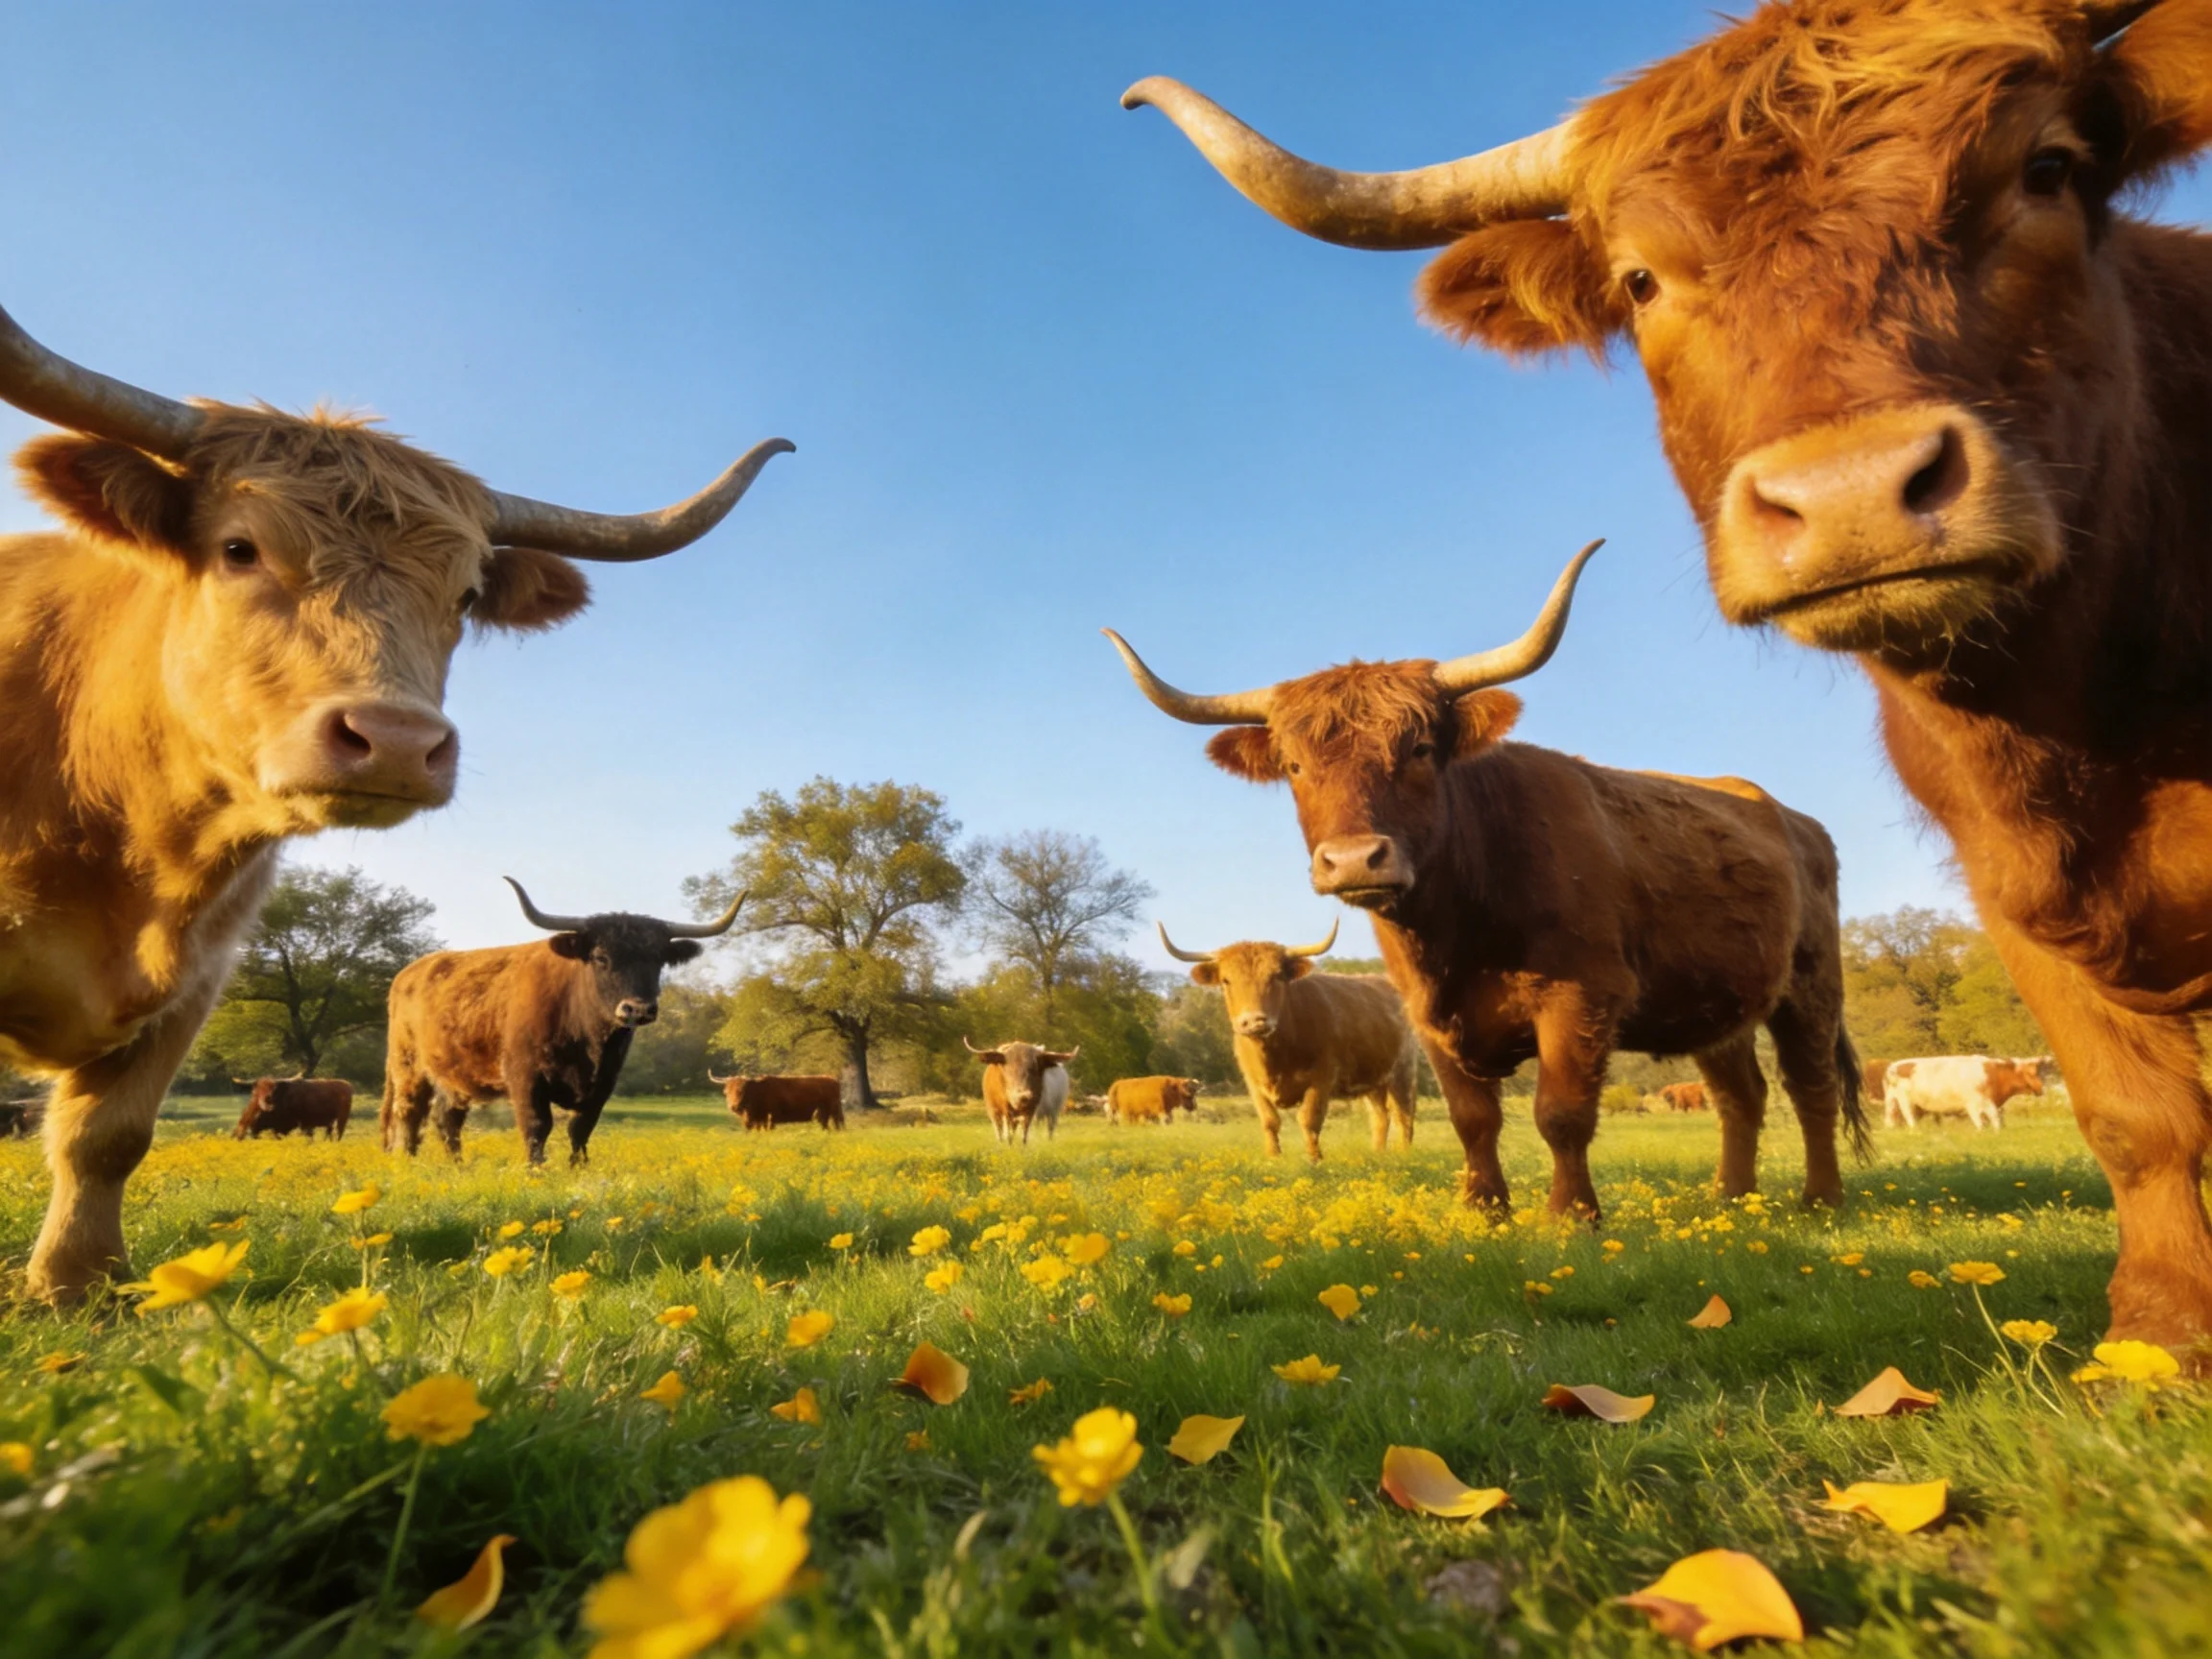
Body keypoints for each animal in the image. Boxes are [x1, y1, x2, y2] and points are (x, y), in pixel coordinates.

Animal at [381, 880, 743, 1165]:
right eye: (600, 957)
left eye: (658, 960)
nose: (637, 1009)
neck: (588, 1041)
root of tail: (409, 972)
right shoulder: (525, 1078)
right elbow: (536, 1127)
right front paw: (535, 1173)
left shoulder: (603, 1084)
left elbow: (580, 1130)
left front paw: (577, 1169)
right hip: (408, 1068)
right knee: (409, 1115)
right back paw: (409, 1165)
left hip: (453, 1077)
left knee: (447, 1119)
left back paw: (458, 1167)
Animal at [712, 1072, 846, 1132]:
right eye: (726, 1092)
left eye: (742, 1091)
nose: (733, 1106)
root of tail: (833, 1080)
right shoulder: (757, 1120)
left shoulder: (771, 1118)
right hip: (824, 1115)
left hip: (833, 1112)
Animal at [1159, 921, 1418, 1161]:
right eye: (1226, 980)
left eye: (1277, 976)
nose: (1254, 1021)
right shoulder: (1252, 1082)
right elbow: (1269, 1120)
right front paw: (1273, 1158)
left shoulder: (1322, 1078)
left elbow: (1309, 1119)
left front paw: (1314, 1159)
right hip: (1372, 1080)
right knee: (1380, 1116)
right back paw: (1378, 1153)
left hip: (1402, 1072)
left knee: (1404, 1113)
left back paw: (1405, 1153)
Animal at [1885, 1056, 2049, 1131]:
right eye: (2032, 1073)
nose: (2041, 1088)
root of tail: (1893, 1065)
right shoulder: (1975, 1104)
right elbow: (1985, 1121)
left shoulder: (1991, 1103)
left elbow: (1996, 1120)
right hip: (1905, 1100)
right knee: (1909, 1116)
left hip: (1891, 1101)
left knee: (1890, 1118)